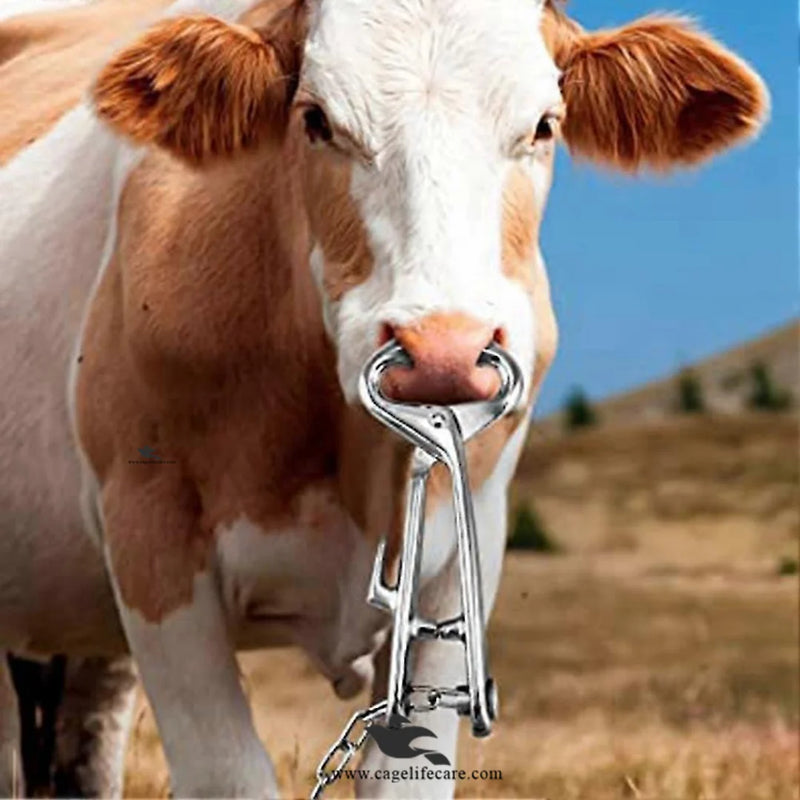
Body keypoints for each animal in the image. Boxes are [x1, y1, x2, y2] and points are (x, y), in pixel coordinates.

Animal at [0, 0, 767, 796]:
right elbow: (230, 773)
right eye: (315, 118)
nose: (444, 351)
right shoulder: (153, 536)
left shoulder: (466, 554)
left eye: (543, 124)